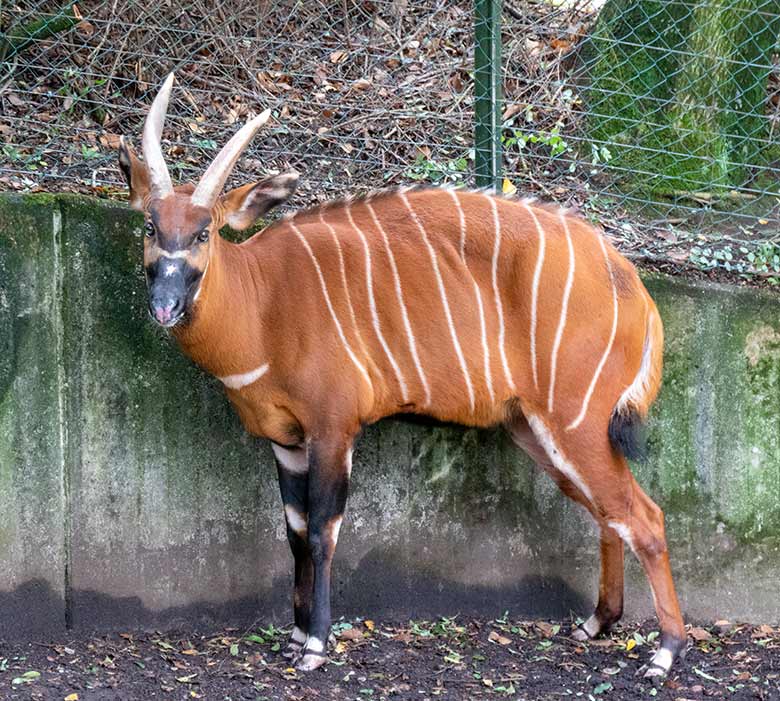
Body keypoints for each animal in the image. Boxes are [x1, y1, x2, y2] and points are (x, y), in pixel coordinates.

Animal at [119, 75, 684, 672]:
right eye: (152, 226)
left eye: (204, 233)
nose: (164, 305)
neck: (263, 300)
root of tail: (634, 284)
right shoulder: (286, 440)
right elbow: (294, 532)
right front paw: (295, 634)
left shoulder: (333, 427)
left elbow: (322, 533)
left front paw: (315, 645)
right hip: (537, 430)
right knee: (609, 513)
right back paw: (597, 622)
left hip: (577, 421)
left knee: (645, 516)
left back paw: (665, 651)